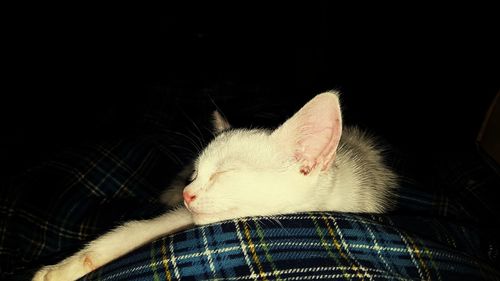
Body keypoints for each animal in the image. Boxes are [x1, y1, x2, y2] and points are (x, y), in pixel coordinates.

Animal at [32, 91, 398, 278]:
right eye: (196, 173)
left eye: (225, 174)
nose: (187, 192)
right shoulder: (186, 215)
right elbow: (138, 229)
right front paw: (64, 268)